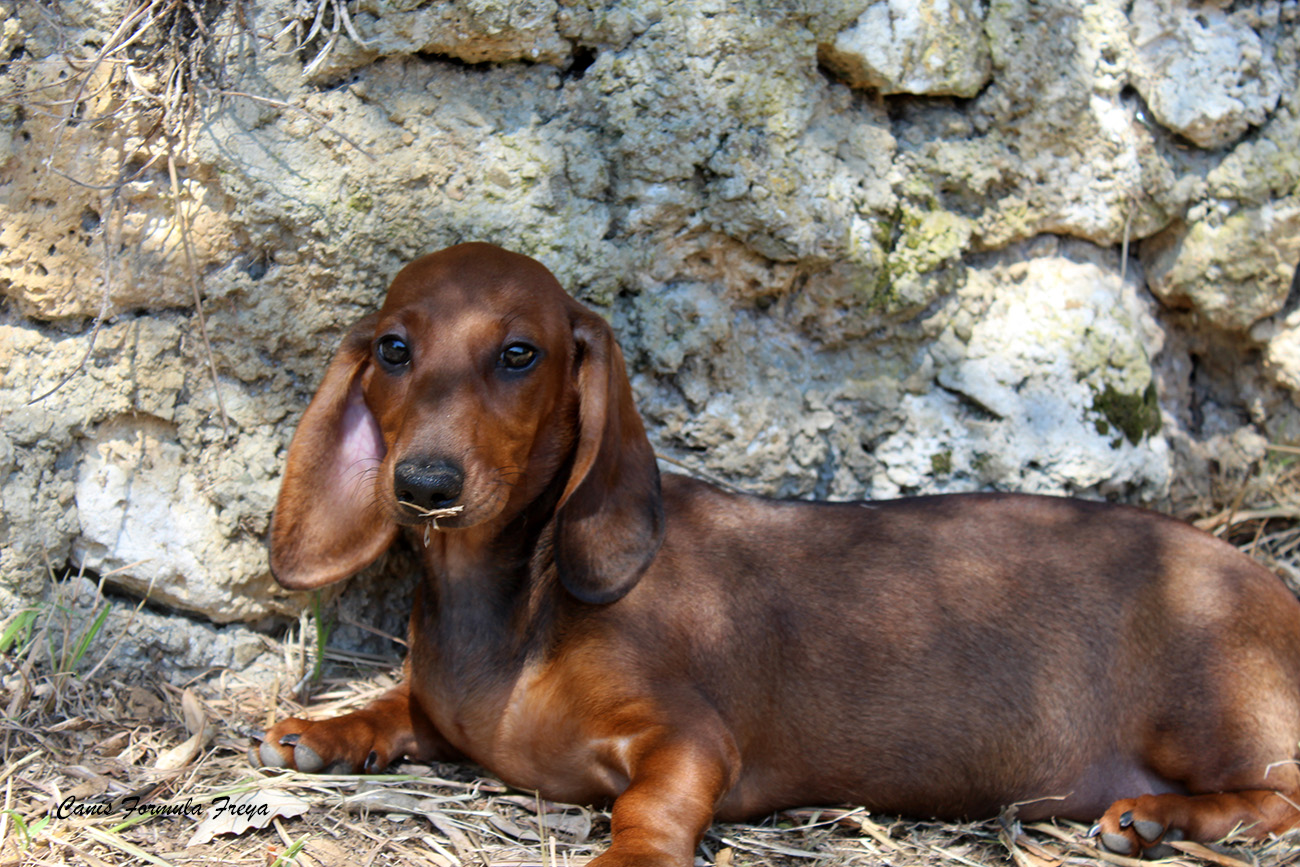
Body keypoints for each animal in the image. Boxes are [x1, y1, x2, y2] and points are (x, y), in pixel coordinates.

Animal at [258, 243, 1300, 863]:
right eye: (393, 349)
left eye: (520, 353)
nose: (425, 485)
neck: (518, 600)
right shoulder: (449, 715)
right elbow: (402, 709)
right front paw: (328, 728)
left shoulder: (690, 740)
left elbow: (650, 808)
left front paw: (627, 853)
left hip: (1205, 713)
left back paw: (1163, 818)